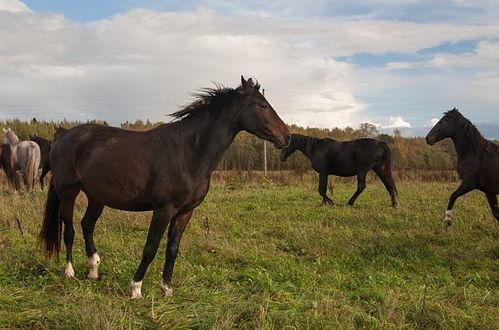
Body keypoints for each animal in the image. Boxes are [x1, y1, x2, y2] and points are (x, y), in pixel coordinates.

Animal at [41, 76, 292, 300]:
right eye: (263, 105)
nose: (287, 136)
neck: (189, 151)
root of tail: (63, 134)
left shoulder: (185, 212)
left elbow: (172, 249)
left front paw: (167, 289)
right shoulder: (163, 210)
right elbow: (150, 247)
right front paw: (136, 288)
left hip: (97, 197)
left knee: (87, 225)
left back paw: (93, 270)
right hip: (68, 192)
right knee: (69, 229)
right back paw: (70, 272)